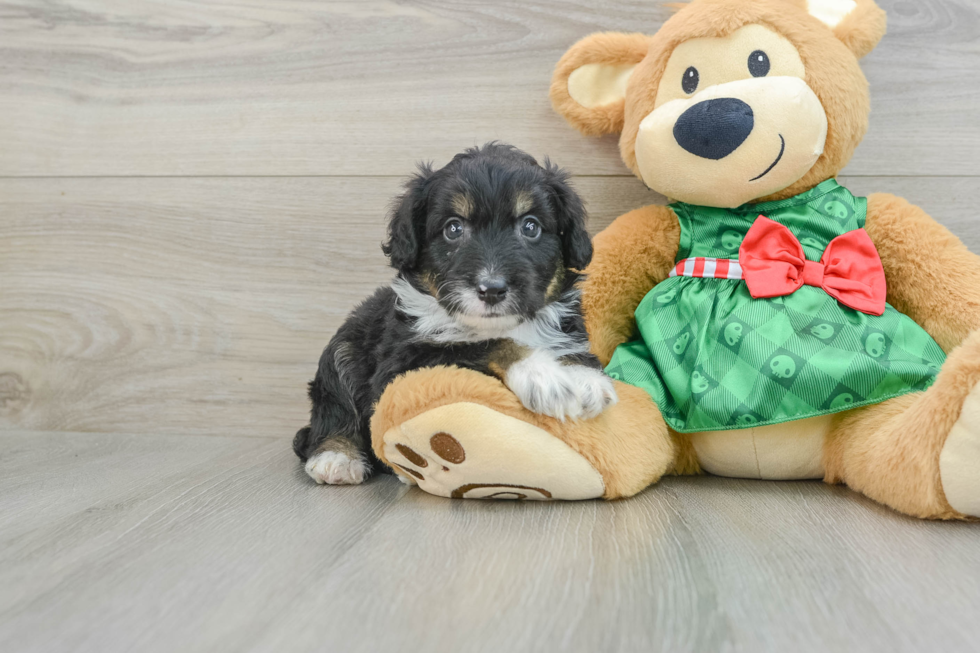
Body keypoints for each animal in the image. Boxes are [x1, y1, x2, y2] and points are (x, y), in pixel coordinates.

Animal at [290, 141, 616, 484]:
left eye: (531, 227)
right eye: (453, 228)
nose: (492, 289)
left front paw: (585, 377)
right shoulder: (403, 363)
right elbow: (483, 344)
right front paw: (542, 375)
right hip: (341, 350)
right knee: (333, 409)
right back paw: (337, 456)